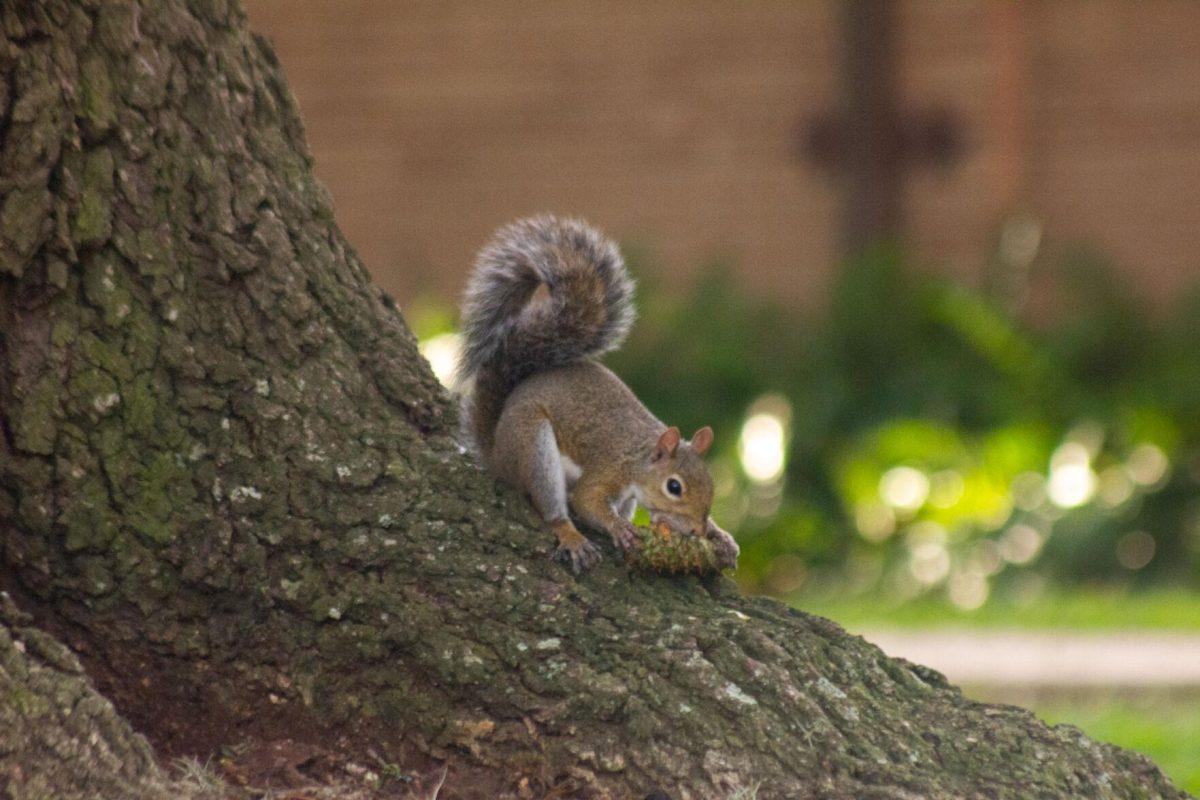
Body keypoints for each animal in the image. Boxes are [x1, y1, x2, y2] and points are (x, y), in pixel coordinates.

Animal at [453, 215, 734, 573]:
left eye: (710, 484)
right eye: (674, 487)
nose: (697, 529)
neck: (640, 458)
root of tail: (496, 454)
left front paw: (718, 535)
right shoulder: (609, 467)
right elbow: (586, 499)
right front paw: (617, 527)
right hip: (532, 445)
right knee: (551, 504)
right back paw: (570, 535)